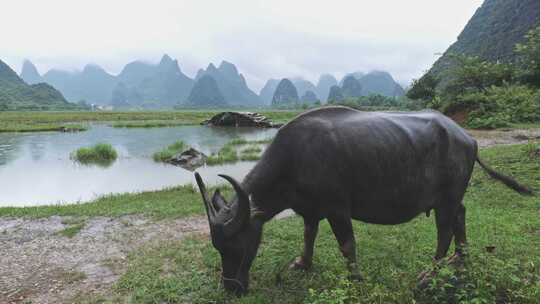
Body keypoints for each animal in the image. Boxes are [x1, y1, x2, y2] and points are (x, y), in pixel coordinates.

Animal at [194, 105, 532, 294]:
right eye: (218, 248)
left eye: (236, 245)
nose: (232, 288)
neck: (294, 159)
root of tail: (467, 137)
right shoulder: (310, 210)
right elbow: (308, 235)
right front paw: (302, 263)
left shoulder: (337, 209)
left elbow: (347, 245)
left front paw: (355, 277)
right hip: (450, 198)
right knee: (461, 216)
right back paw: (461, 259)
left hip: (446, 199)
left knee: (445, 230)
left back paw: (431, 274)